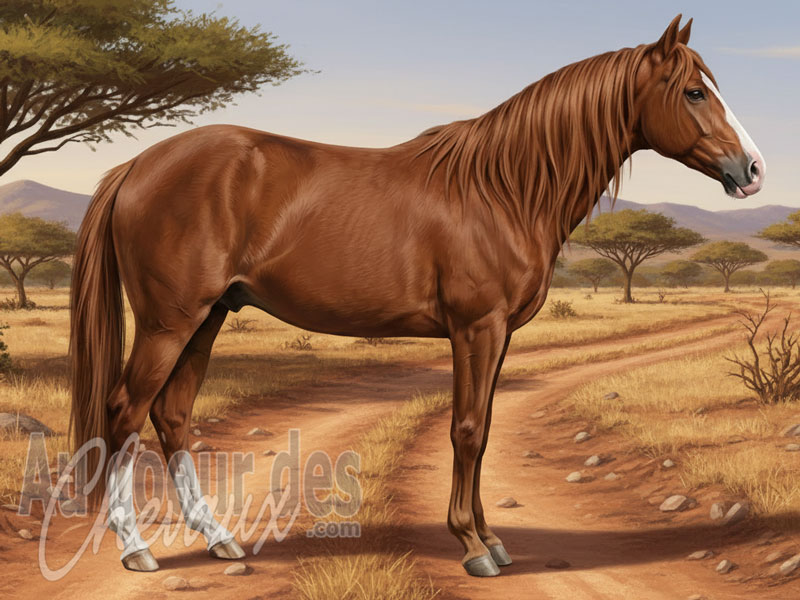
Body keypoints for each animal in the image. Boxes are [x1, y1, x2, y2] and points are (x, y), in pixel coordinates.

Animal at [69, 14, 764, 577]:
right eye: (695, 91)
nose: (753, 170)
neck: (503, 189)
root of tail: (136, 166)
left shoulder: (498, 334)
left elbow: (484, 425)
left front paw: (491, 538)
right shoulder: (476, 327)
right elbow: (467, 431)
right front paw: (473, 546)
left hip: (206, 318)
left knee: (172, 416)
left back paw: (219, 539)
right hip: (169, 321)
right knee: (126, 411)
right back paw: (136, 549)